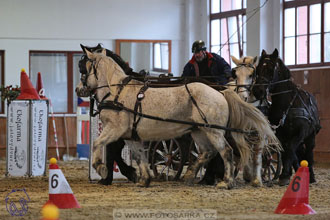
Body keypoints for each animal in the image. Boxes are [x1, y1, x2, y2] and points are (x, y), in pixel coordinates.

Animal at [76, 45, 280, 189]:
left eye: (83, 68)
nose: (79, 90)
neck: (117, 91)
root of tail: (220, 92)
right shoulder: (130, 135)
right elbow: (140, 156)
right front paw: (144, 179)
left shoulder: (114, 129)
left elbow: (97, 144)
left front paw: (101, 168)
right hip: (199, 131)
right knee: (208, 152)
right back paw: (191, 175)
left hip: (214, 131)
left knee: (226, 151)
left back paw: (226, 181)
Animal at [253, 48, 320, 186]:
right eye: (258, 69)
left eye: (270, 69)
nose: (257, 91)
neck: (286, 105)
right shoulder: (280, 134)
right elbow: (286, 151)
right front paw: (286, 174)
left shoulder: (300, 132)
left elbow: (290, 150)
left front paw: (285, 175)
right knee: (297, 152)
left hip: (310, 136)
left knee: (308, 153)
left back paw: (311, 176)